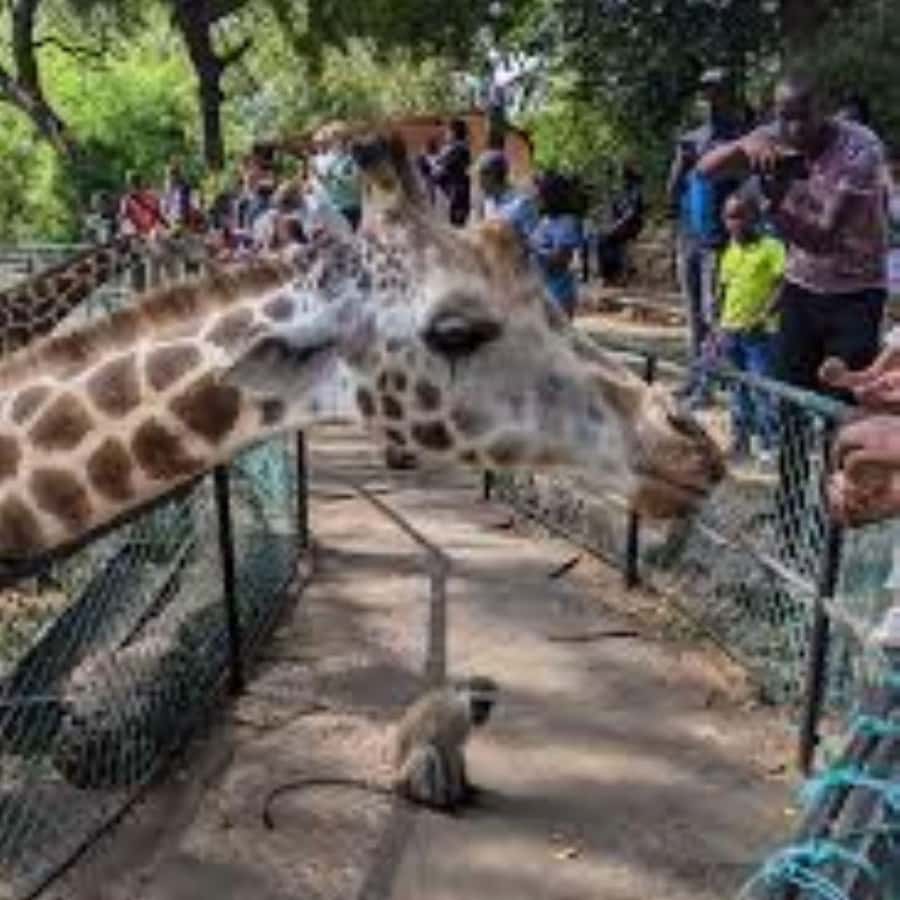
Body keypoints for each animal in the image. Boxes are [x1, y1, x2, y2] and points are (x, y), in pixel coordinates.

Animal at [261, 675, 497, 830]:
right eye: (477, 702)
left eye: (487, 704)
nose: (482, 715)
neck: (460, 703)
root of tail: (396, 778)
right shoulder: (455, 718)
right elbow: (447, 752)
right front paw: (455, 797)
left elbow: (457, 752)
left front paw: (467, 790)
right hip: (406, 777)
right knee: (427, 752)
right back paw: (431, 803)